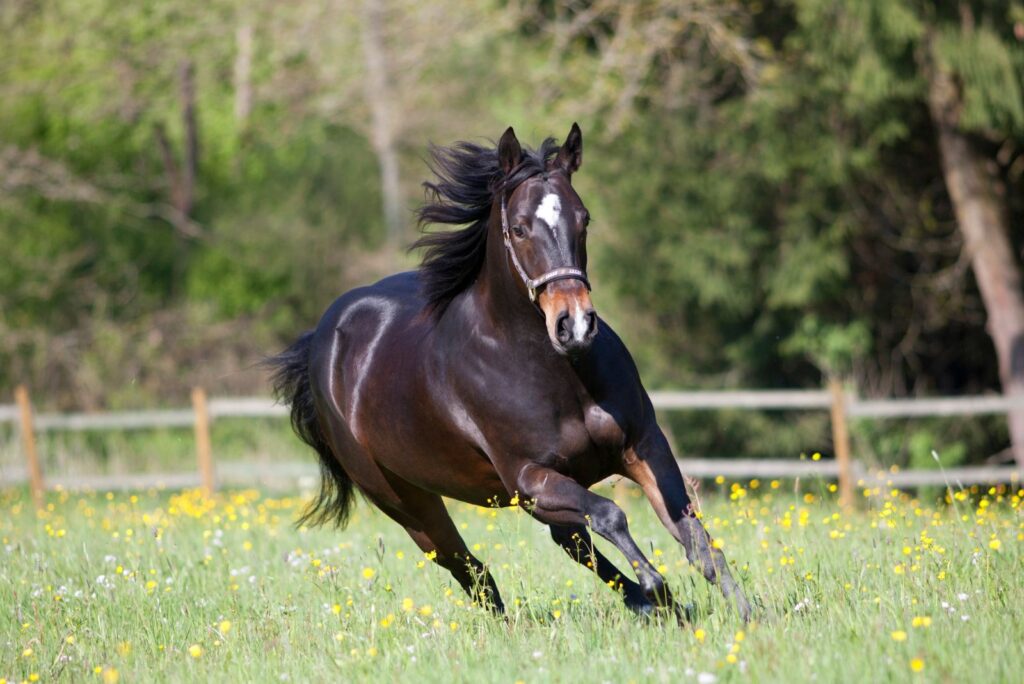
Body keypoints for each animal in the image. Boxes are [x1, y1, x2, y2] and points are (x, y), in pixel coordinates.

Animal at [268, 122, 753, 618]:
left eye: (584, 218)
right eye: (519, 229)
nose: (575, 325)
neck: (557, 375)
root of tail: (322, 340)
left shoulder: (643, 447)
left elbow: (696, 541)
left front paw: (746, 616)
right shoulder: (529, 478)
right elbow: (611, 514)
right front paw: (657, 585)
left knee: (565, 543)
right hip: (406, 501)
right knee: (470, 567)